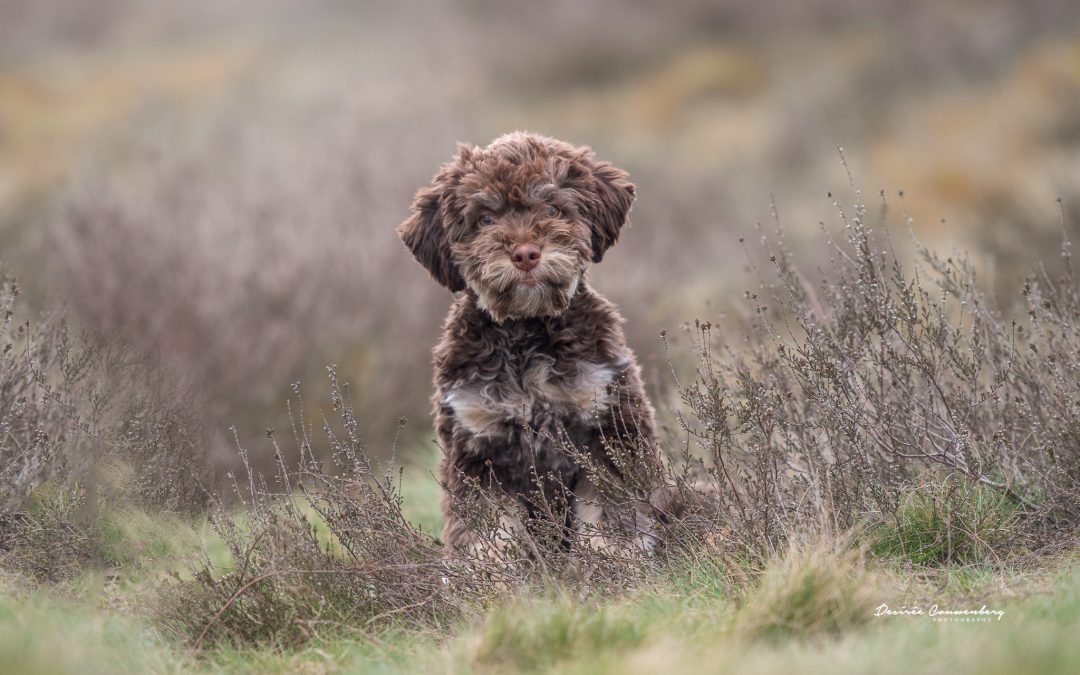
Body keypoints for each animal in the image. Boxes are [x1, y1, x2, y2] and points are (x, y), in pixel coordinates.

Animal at [401, 131, 660, 557]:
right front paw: (490, 574)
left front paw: (612, 563)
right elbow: (488, 535)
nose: (525, 253)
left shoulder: (606, 429)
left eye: (552, 207)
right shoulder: (478, 449)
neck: (524, 333)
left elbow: (610, 518)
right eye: (485, 218)